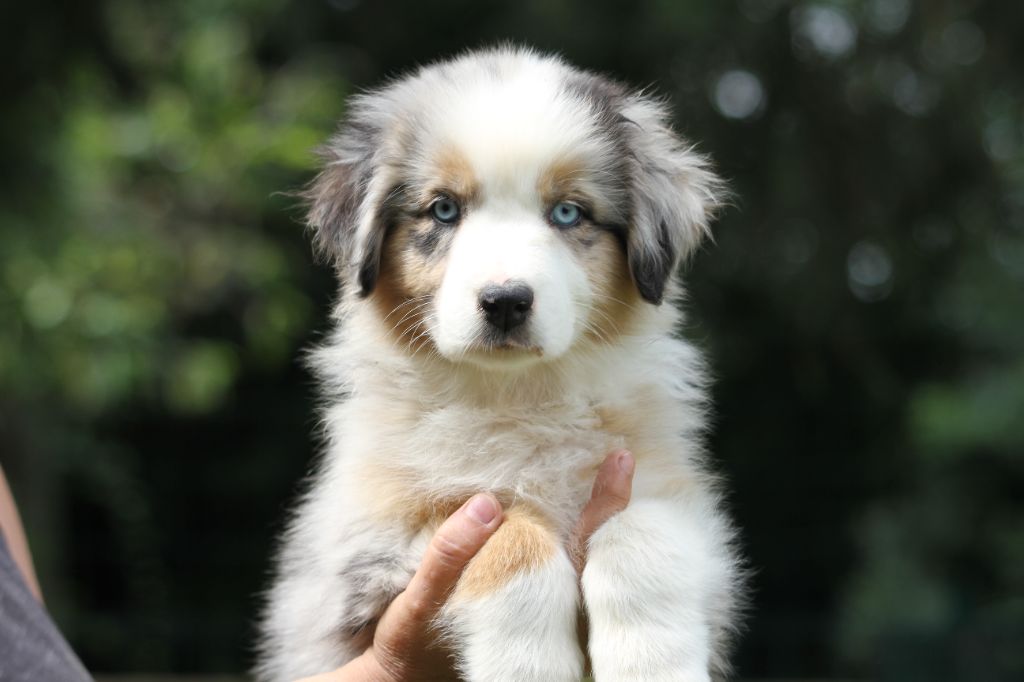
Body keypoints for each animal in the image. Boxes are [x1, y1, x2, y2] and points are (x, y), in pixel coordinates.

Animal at [260, 46, 745, 679]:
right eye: (443, 210)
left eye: (567, 213)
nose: (506, 301)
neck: (517, 396)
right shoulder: (369, 543)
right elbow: (511, 534)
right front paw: (528, 662)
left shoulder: (675, 496)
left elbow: (640, 530)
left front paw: (653, 661)